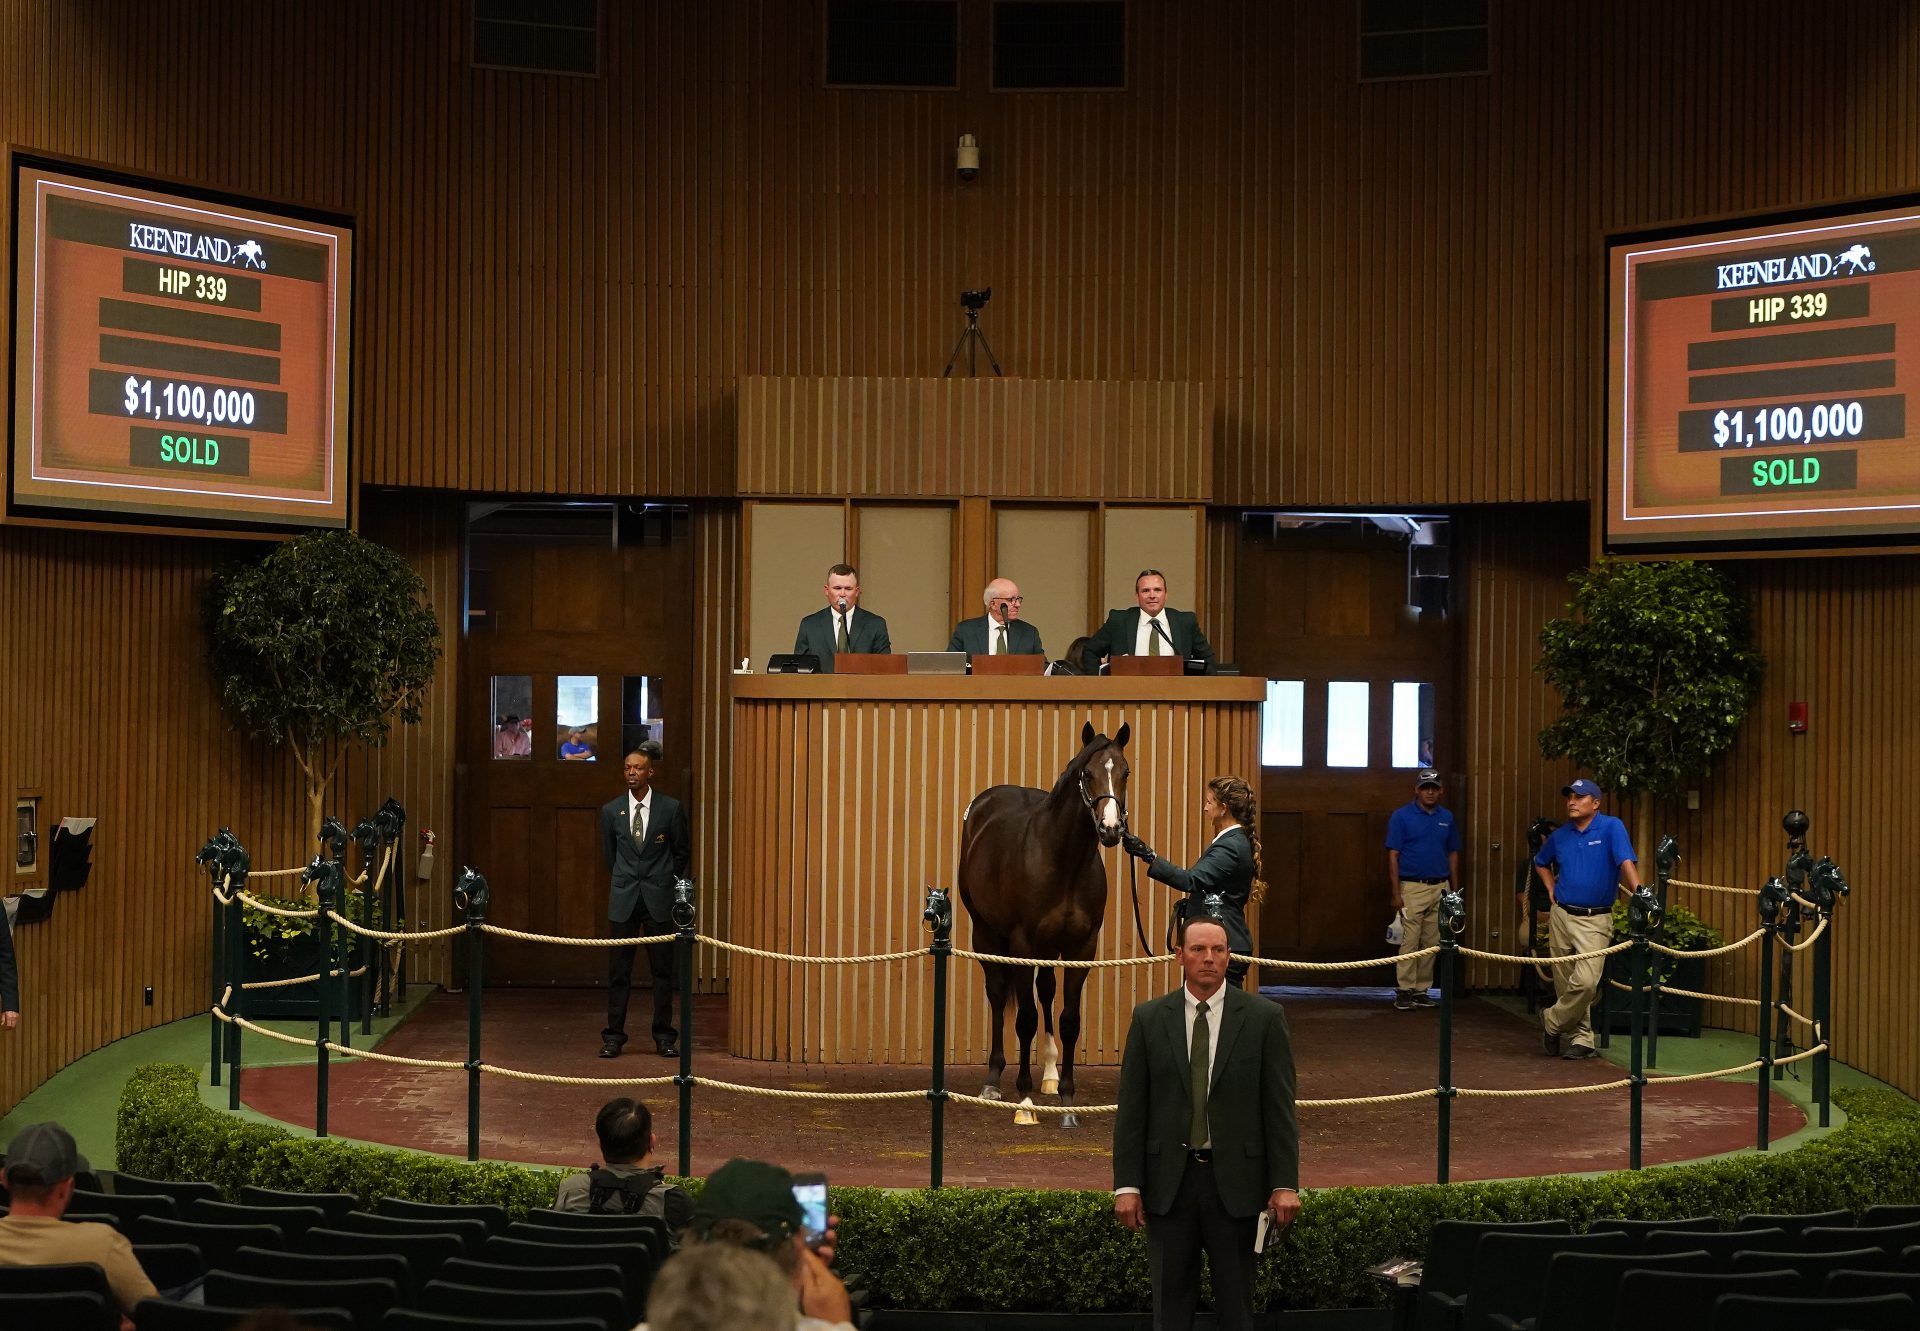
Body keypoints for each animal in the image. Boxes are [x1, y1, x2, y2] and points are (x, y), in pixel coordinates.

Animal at [956, 722, 1121, 1129]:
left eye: (1125, 772)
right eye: (1087, 774)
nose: (1111, 829)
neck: (1064, 861)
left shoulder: (1082, 948)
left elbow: (1069, 1020)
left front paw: (1067, 1101)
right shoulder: (1022, 945)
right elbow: (1025, 1019)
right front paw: (1025, 1102)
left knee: (1045, 991)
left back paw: (1048, 1074)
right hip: (987, 933)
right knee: (999, 996)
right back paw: (993, 1082)